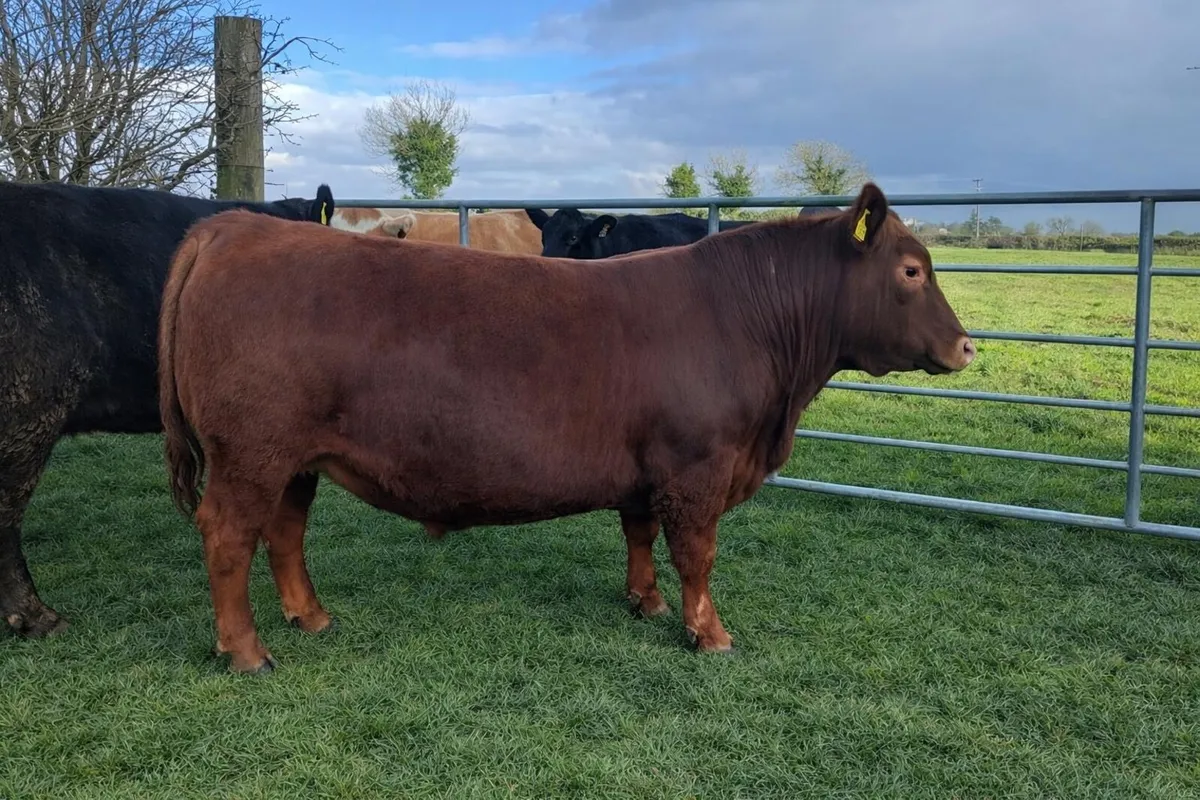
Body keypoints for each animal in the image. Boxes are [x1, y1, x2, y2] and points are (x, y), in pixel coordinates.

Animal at [157, 182, 976, 674]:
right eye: (911, 270)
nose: (967, 346)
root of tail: (233, 228)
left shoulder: (648, 470)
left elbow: (640, 534)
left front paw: (644, 602)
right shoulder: (699, 468)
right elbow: (698, 555)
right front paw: (708, 633)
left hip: (294, 457)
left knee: (285, 532)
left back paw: (313, 617)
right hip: (249, 453)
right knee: (228, 536)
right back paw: (246, 650)